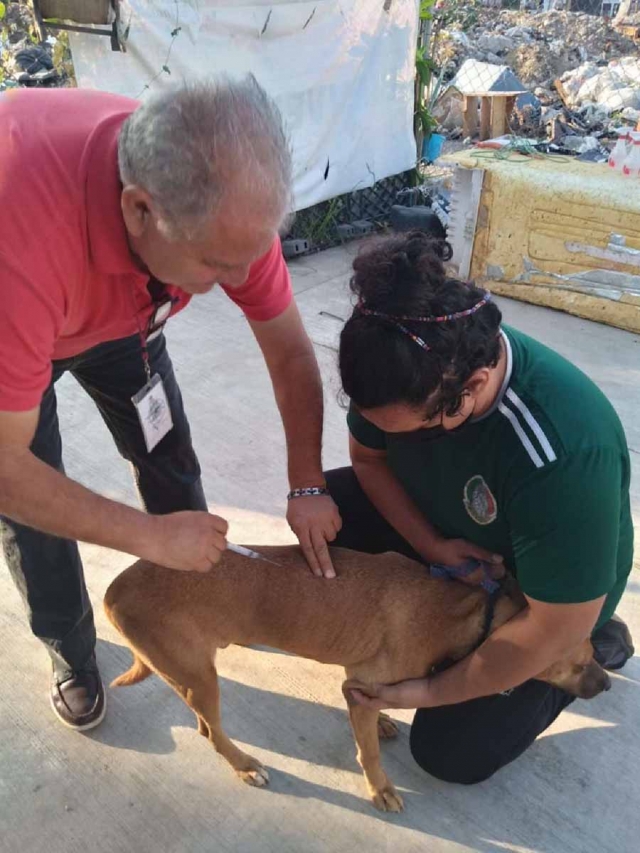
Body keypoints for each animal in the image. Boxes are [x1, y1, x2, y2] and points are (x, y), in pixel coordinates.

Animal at [104, 544, 608, 812]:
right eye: (578, 663)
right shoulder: (358, 689)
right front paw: (380, 788)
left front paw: (384, 721)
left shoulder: (362, 685)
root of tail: (114, 590)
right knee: (212, 731)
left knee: (203, 724)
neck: (467, 616)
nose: (605, 683)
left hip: (191, 672)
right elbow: (368, 752)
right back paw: (245, 765)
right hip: (200, 677)